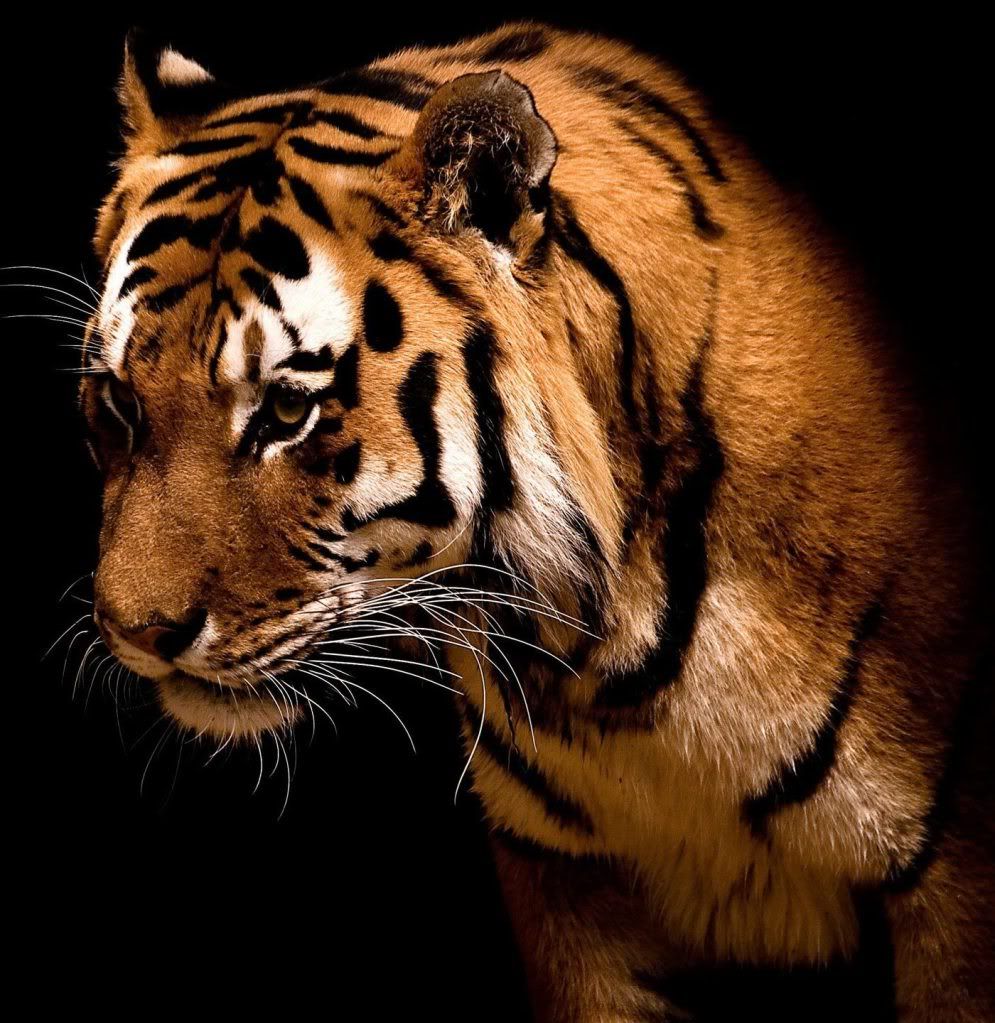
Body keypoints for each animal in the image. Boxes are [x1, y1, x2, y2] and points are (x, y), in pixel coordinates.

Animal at [78, 20, 992, 1022]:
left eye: (286, 410)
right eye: (119, 402)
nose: (138, 632)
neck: (607, 669)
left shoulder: (952, 873)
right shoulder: (565, 880)